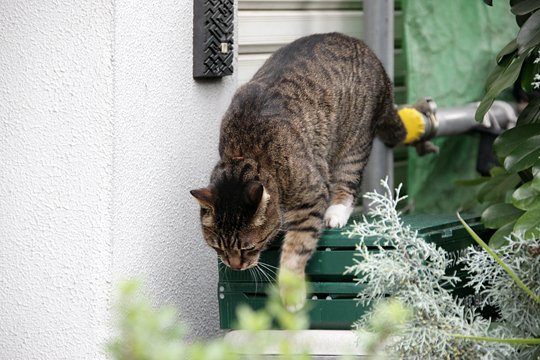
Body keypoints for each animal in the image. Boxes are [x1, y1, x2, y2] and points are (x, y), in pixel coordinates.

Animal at [190, 33, 404, 310]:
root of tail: (372, 55)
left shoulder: (310, 196)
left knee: (348, 181)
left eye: (248, 247)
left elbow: (296, 248)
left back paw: (336, 212)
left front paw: (291, 293)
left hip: (354, 142)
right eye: (218, 247)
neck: (245, 151)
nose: (235, 266)